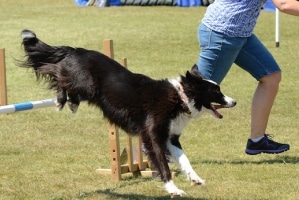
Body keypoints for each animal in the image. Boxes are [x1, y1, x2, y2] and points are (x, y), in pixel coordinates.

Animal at [20, 29, 237, 197]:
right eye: (216, 92)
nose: (234, 101)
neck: (180, 97)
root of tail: (77, 50)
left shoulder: (170, 137)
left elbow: (185, 159)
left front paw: (195, 178)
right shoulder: (153, 137)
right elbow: (163, 166)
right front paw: (173, 189)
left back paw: (71, 103)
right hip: (86, 84)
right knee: (57, 73)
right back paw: (62, 100)